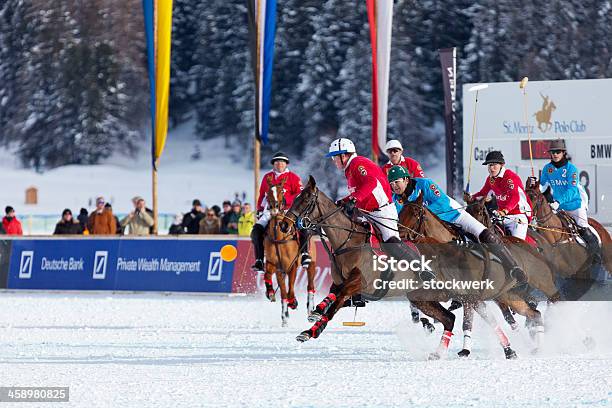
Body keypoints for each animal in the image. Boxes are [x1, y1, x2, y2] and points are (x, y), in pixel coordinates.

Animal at [264, 178, 318, 326]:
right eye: (268, 192)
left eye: (282, 191)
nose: (275, 209)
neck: (279, 237)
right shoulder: (276, 266)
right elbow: (279, 288)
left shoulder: (291, 266)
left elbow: (290, 289)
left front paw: (293, 302)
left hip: (311, 265)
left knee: (310, 286)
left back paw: (310, 310)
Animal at [284, 177, 536, 358]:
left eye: (305, 199)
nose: (286, 224)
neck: (348, 242)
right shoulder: (342, 283)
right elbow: (332, 297)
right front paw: (313, 316)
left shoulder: (358, 283)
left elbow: (336, 304)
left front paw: (311, 331)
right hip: (423, 297)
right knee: (450, 319)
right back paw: (443, 352)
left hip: (467, 293)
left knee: (483, 316)